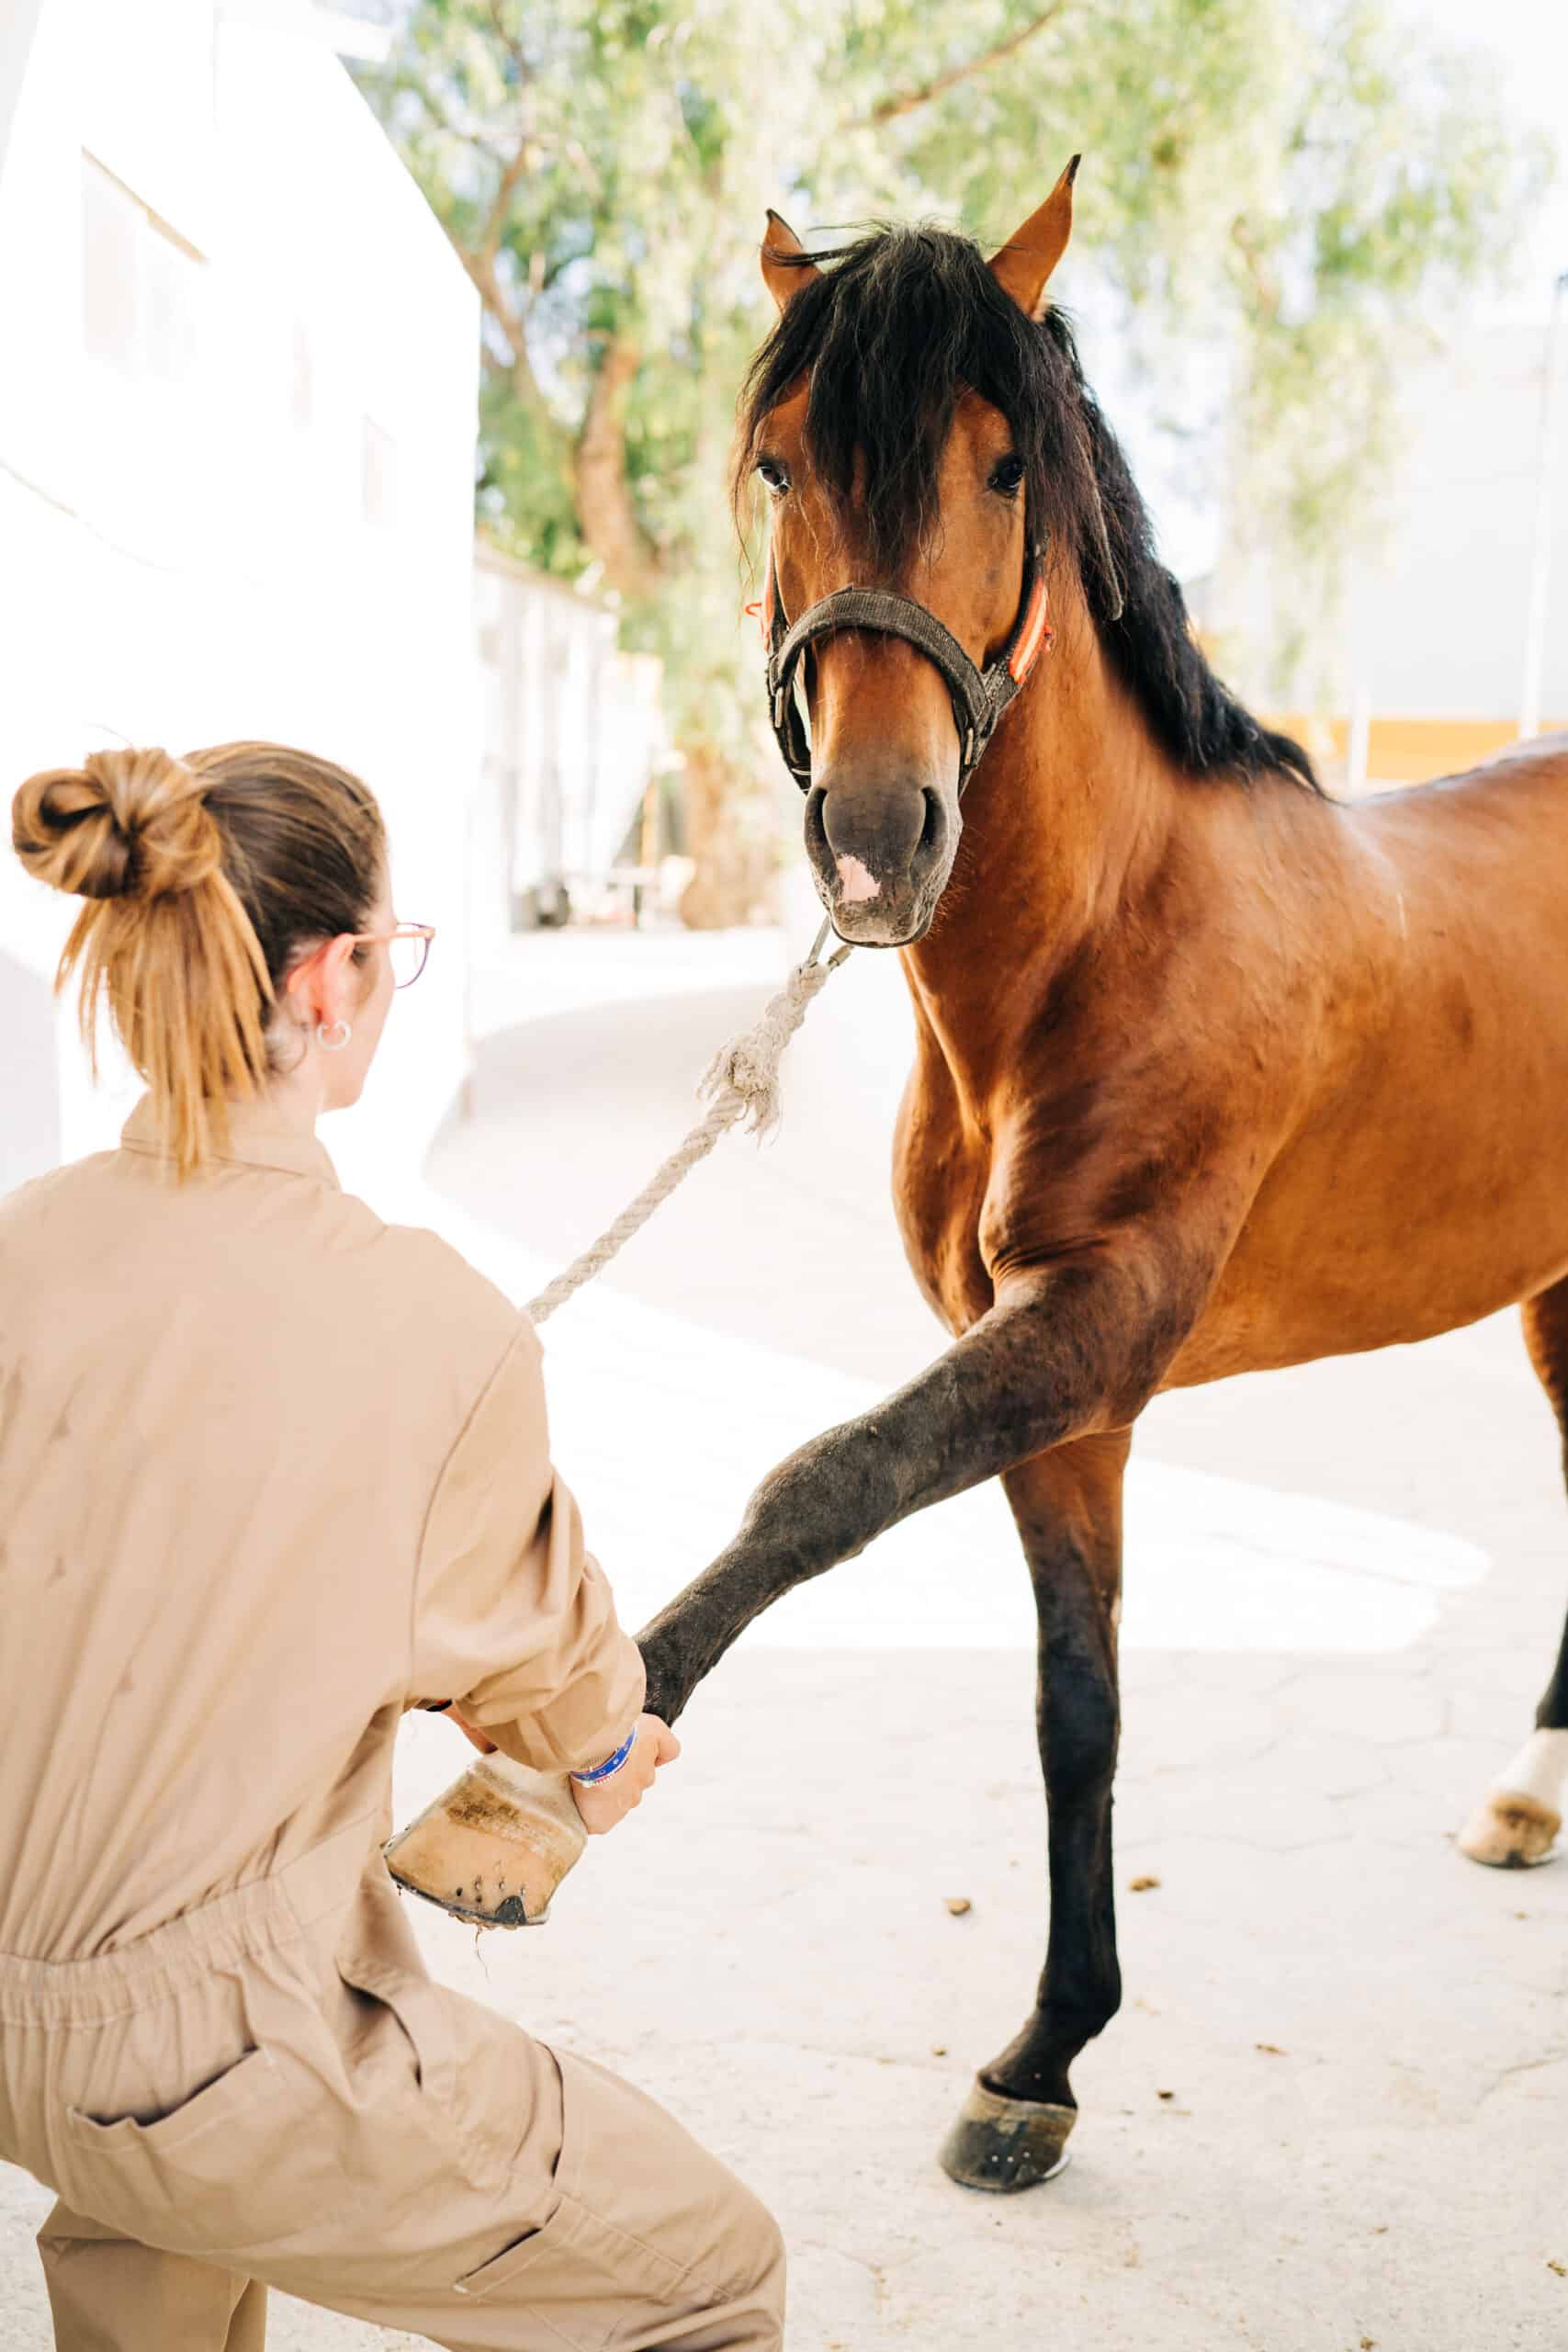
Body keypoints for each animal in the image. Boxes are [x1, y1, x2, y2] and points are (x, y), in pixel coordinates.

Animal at [639, 161, 1568, 2182]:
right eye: (776, 461)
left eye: (1005, 467)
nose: (877, 832)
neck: (1108, 940)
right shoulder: (1057, 1389)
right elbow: (1079, 1705)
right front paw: (1042, 2058)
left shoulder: (1100, 1324)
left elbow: (817, 1485)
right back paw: (1525, 1799)